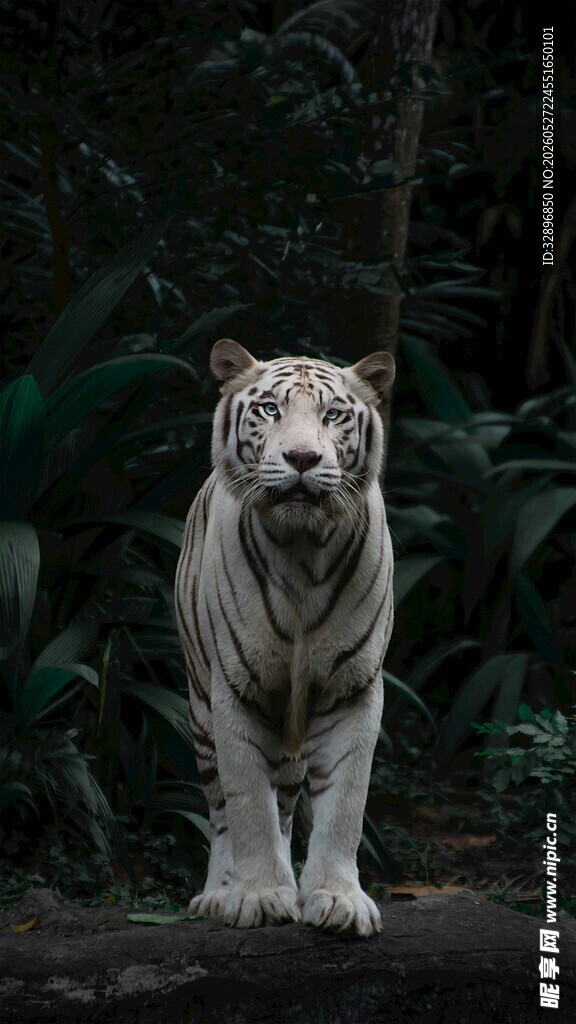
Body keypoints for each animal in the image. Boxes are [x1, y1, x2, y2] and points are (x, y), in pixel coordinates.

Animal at [175, 338, 395, 936]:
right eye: (270, 409)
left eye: (333, 414)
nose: (301, 459)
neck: (302, 552)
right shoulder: (235, 689)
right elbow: (248, 803)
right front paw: (258, 896)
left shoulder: (352, 689)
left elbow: (345, 803)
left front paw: (338, 899)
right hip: (200, 707)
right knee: (221, 810)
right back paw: (218, 894)